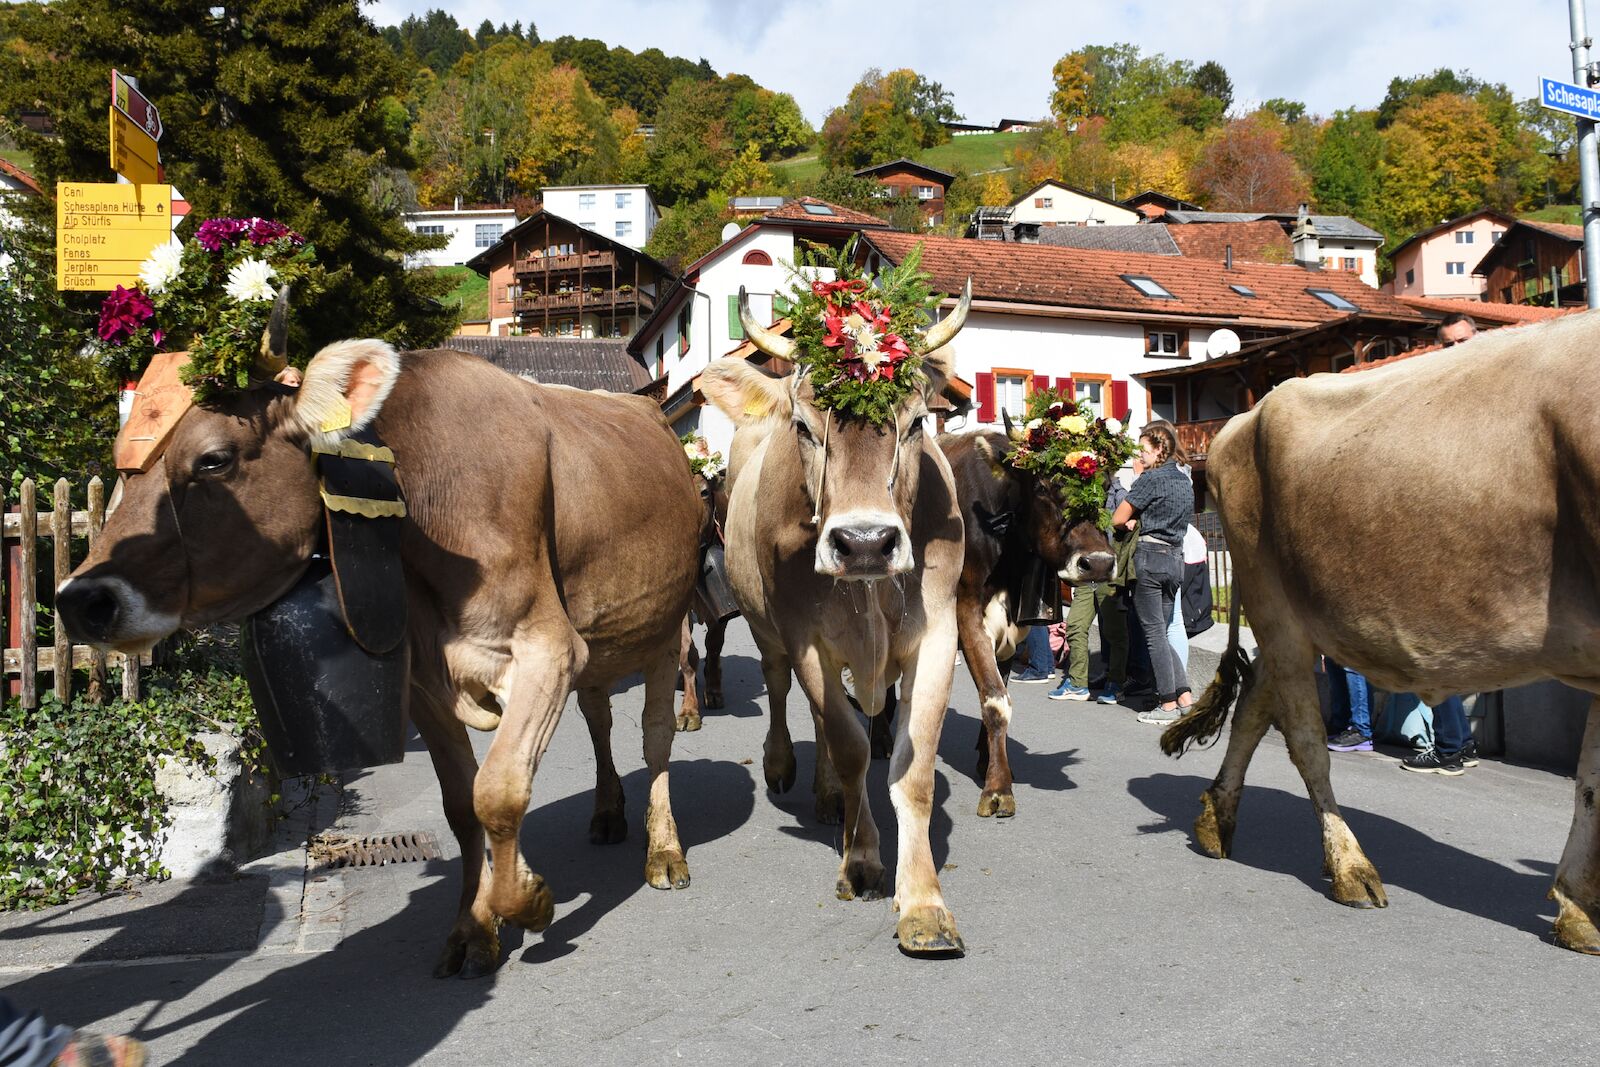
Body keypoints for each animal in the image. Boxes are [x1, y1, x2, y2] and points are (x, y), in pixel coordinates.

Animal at [60, 340, 700, 979]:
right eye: (123, 469)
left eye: (214, 460)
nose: (78, 600)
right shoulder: (425, 683)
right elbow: (461, 807)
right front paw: (474, 929)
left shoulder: (548, 647)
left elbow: (497, 792)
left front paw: (529, 902)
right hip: (605, 637)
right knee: (600, 720)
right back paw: (608, 813)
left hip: (667, 629)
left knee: (656, 738)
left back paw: (664, 850)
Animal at [704, 287, 972, 953]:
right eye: (804, 426)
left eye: (916, 422)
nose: (866, 543)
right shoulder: (806, 641)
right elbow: (850, 748)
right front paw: (864, 860)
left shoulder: (936, 637)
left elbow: (914, 770)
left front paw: (923, 903)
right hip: (767, 631)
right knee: (783, 694)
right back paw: (787, 769)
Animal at [934, 428, 1113, 812]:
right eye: (1042, 487)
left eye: (1106, 485)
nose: (1099, 562)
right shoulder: (967, 614)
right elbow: (994, 699)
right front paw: (998, 788)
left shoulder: (1012, 630)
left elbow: (999, 692)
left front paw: (988, 762)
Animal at [1158, 313, 1600, 953]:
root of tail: (1246, 415)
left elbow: (1591, 781)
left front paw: (1578, 909)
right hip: (1275, 604)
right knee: (1305, 740)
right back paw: (1349, 866)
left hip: (1290, 618)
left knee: (1254, 704)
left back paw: (1218, 818)